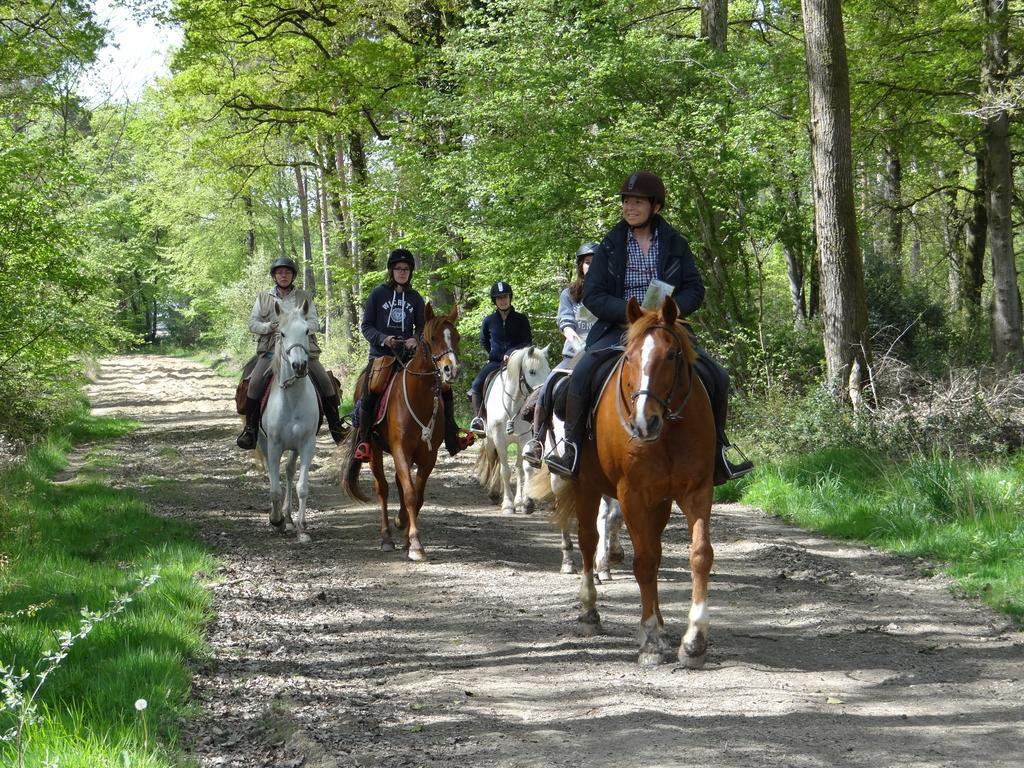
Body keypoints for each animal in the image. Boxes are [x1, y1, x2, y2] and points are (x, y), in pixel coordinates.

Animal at [339, 303, 460, 561]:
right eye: (432, 338)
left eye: (456, 337)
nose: (451, 370)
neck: (418, 398)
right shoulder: (401, 450)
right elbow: (410, 494)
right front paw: (415, 545)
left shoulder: (428, 456)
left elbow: (417, 495)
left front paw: (407, 534)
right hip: (374, 450)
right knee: (382, 489)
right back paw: (386, 537)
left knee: (398, 484)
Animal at [473, 346, 548, 514]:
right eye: (532, 371)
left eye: (548, 370)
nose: (542, 396)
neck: (512, 406)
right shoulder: (499, 438)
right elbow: (505, 470)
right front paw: (508, 504)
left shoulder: (525, 438)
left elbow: (524, 469)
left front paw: (524, 503)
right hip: (490, 441)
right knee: (494, 462)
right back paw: (494, 492)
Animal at [532, 296, 716, 671]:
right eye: (628, 357)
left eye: (672, 355)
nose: (644, 422)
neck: (667, 432)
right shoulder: (632, 494)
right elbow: (643, 562)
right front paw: (651, 640)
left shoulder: (697, 490)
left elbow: (699, 555)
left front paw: (693, 641)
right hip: (585, 485)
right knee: (588, 540)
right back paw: (590, 612)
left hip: (659, 502)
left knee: (653, 549)